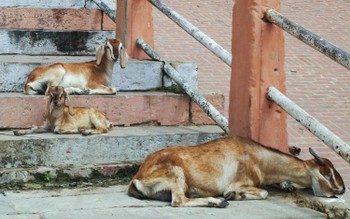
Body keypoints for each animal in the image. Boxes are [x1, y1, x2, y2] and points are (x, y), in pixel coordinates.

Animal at [128, 137, 344, 207]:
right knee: (178, 201)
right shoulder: (239, 181)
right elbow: (263, 193)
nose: (341, 189)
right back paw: (217, 202)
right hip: (176, 174)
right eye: (328, 173)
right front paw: (233, 195)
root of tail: (137, 178)